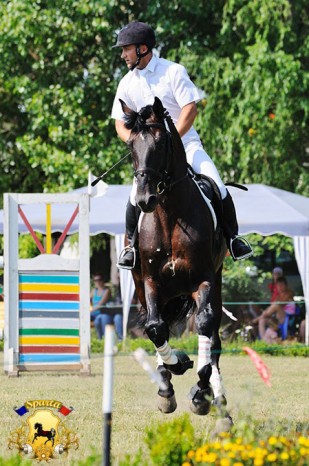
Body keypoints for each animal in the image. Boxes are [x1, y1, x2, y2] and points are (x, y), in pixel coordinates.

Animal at [121, 95, 227, 416]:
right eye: (131, 146)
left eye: (160, 144)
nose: (145, 199)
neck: (169, 214)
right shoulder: (151, 281)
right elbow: (156, 328)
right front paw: (173, 371)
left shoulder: (204, 280)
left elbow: (205, 325)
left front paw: (201, 390)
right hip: (144, 285)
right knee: (158, 324)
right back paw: (166, 376)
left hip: (216, 282)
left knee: (213, 332)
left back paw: (216, 393)